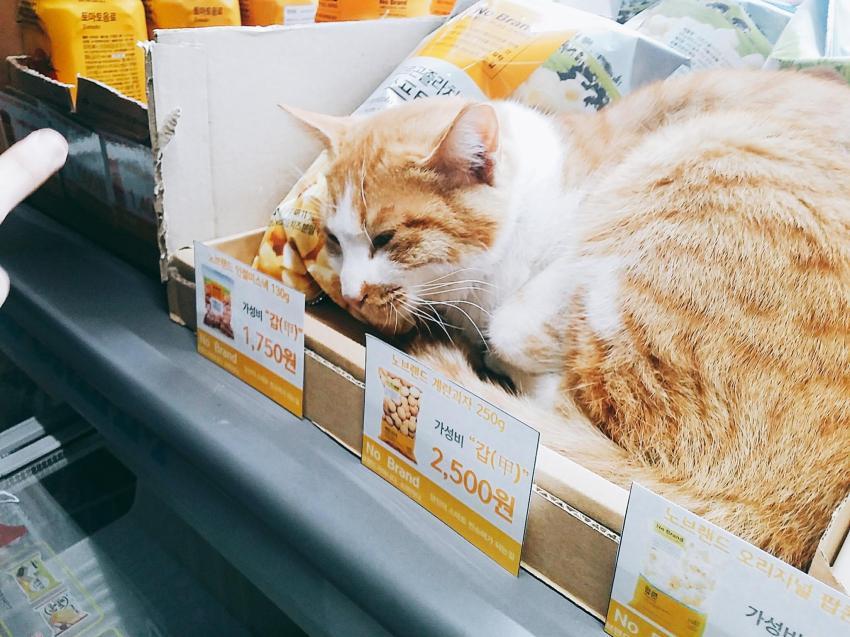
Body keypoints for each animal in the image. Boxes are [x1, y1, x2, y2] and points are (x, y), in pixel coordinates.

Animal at [286, 68, 850, 569]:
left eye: (385, 239)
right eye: (334, 240)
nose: (352, 294)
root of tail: (779, 513)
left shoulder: (581, 254)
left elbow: (514, 330)